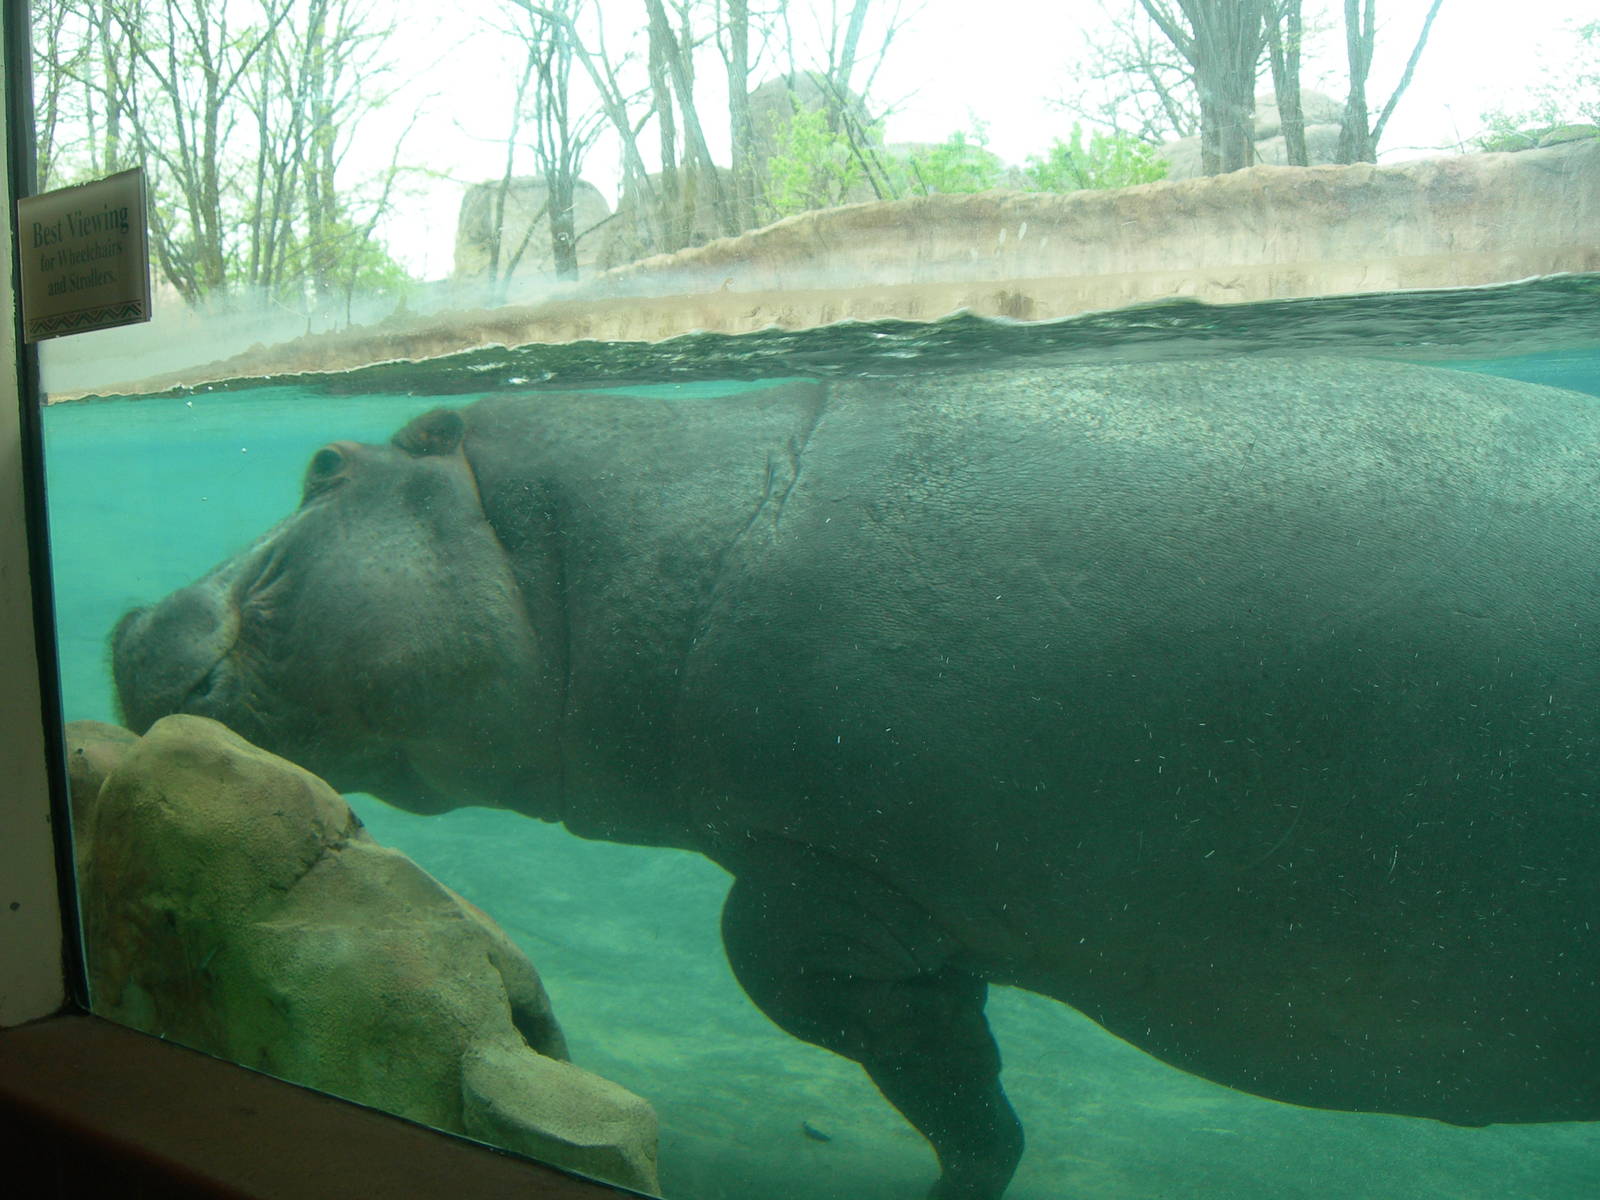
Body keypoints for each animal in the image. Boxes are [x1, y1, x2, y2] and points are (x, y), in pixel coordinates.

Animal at [112, 358, 1600, 1198]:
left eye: (323, 463)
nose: (123, 624)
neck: (606, 542)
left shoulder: (819, 873)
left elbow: (876, 1028)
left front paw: (965, 1178)